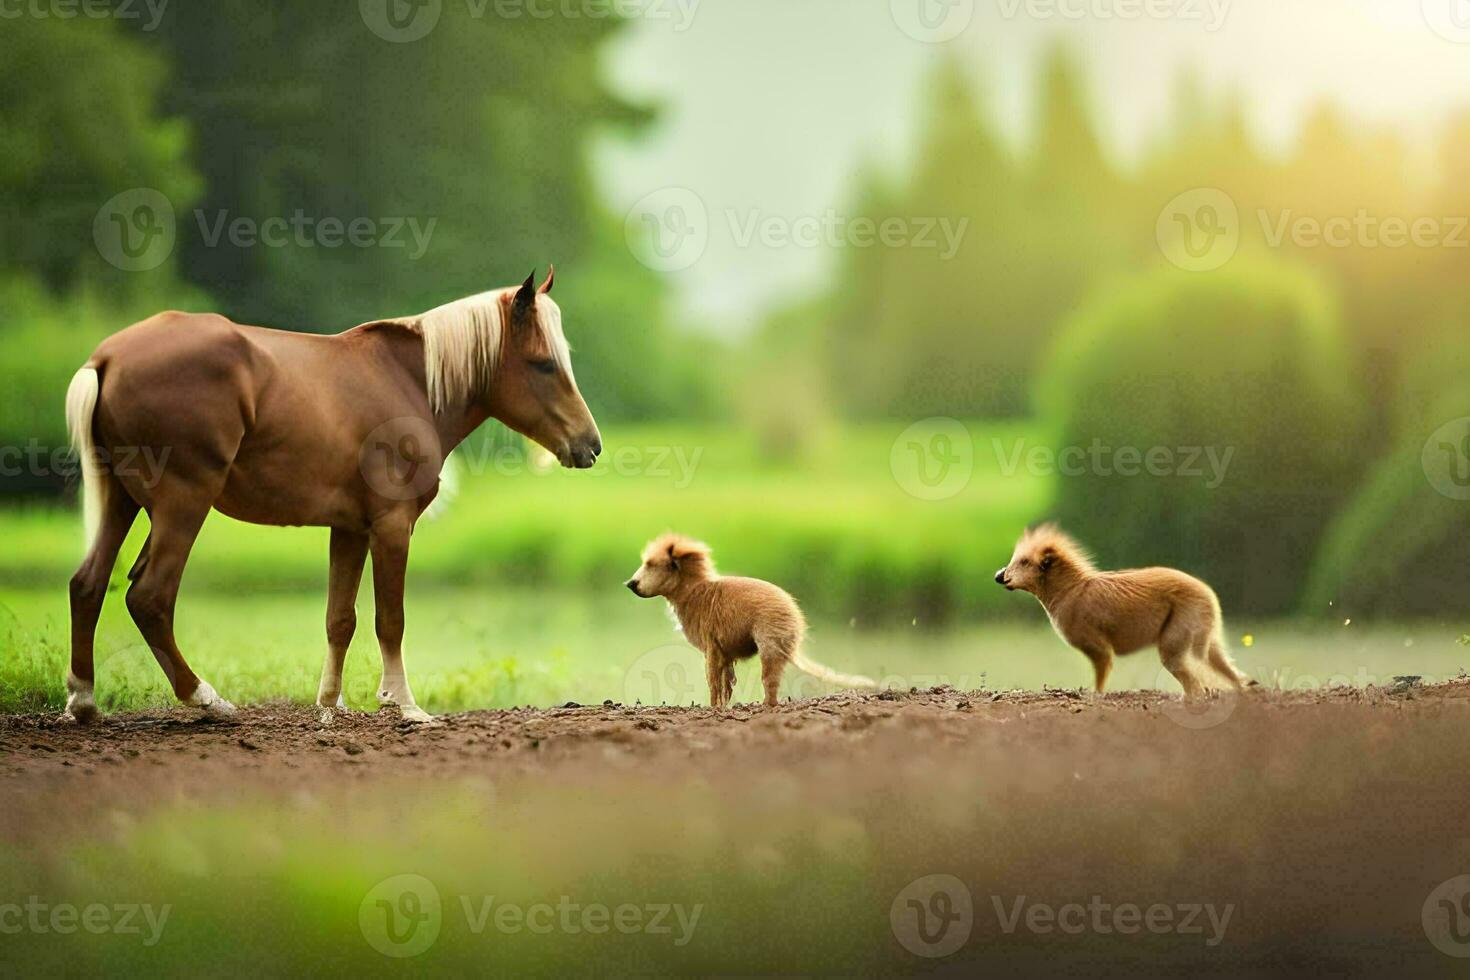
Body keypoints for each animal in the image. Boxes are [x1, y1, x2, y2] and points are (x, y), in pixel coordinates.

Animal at [64, 271, 596, 725]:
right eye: (544, 364)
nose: (590, 444)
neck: (408, 382)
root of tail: (107, 358)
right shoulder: (392, 526)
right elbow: (390, 619)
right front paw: (404, 705)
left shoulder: (349, 529)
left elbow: (340, 619)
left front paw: (329, 704)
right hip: (183, 505)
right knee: (150, 598)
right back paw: (206, 699)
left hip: (121, 499)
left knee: (88, 584)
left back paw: (84, 701)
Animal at [629, 531, 870, 708]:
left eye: (651, 564)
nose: (630, 584)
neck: (695, 592)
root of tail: (795, 618)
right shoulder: (723, 653)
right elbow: (725, 684)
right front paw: (723, 707)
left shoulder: (711, 648)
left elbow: (713, 683)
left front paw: (713, 709)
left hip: (769, 649)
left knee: (770, 688)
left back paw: (764, 707)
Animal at [993, 528, 1246, 696]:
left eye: (1025, 561)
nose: (999, 575)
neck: (1070, 589)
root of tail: (1207, 591)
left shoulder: (1099, 647)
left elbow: (1100, 679)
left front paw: (1093, 698)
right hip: (1205, 639)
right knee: (1227, 671)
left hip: (1175, 638)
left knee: (1195, 685)